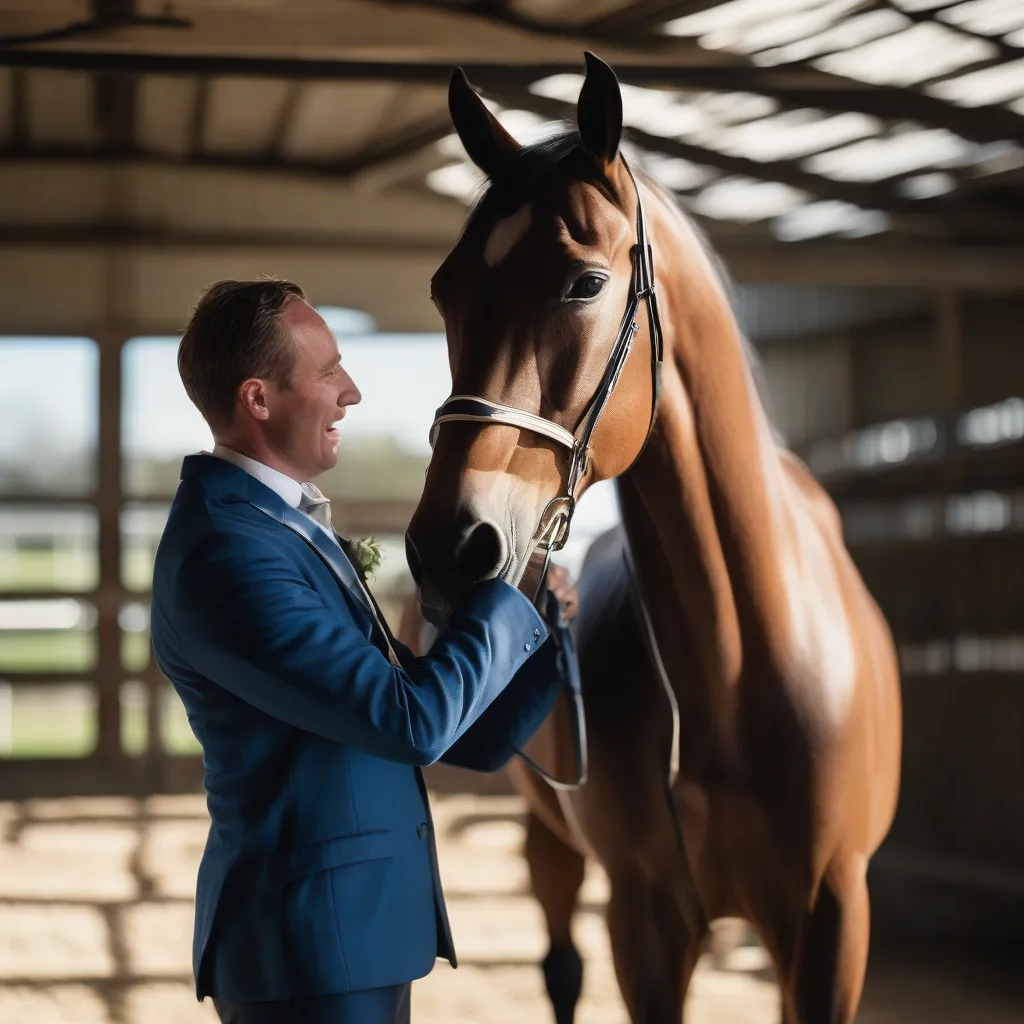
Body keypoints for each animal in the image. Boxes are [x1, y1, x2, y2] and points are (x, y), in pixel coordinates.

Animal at [403, 54, 901, 1024]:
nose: (450, 547)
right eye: (445, 290)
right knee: (561, 966)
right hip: (553, 843)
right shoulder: (647, 917)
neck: (741, 664)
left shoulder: (834, 919)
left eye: (584, 284)